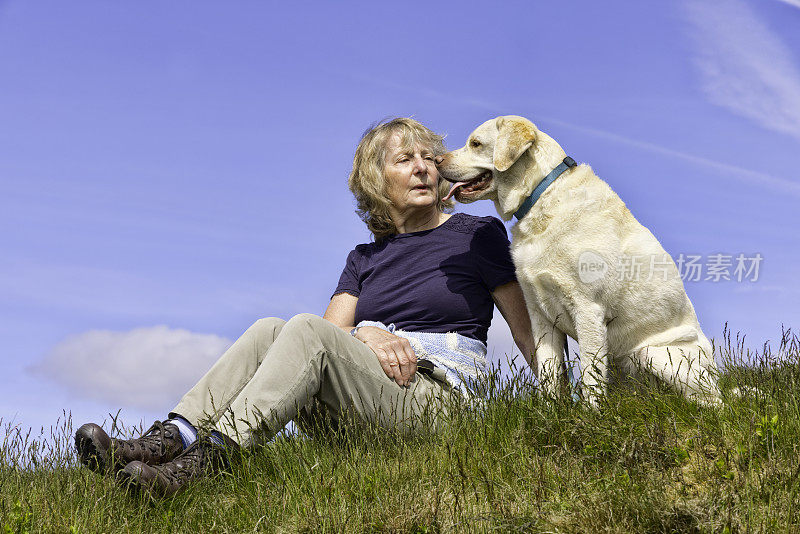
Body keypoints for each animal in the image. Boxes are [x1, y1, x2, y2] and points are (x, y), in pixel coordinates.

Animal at [440, 116, 720, 406]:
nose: (437, 159)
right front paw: (550, 411)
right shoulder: (539, 315)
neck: (542, 196)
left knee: (711, 402)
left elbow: (590, 378)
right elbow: (549, 374)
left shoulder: (588, 309)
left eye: (475, 143)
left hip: (655, 355)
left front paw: (591, 414)